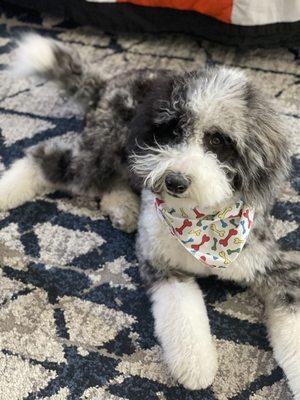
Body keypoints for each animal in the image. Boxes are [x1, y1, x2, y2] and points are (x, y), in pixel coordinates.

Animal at [2, 34, 300, 396]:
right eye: (172, 132)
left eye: (218, 140)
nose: (174, 181)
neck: (205, 225)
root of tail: (106, 84)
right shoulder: (161, 263)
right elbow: (182, 315)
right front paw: (197, 366)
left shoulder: (278, 268)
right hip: (102, 151)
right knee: (47, 158)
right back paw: (7, 190)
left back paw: (123, 208)